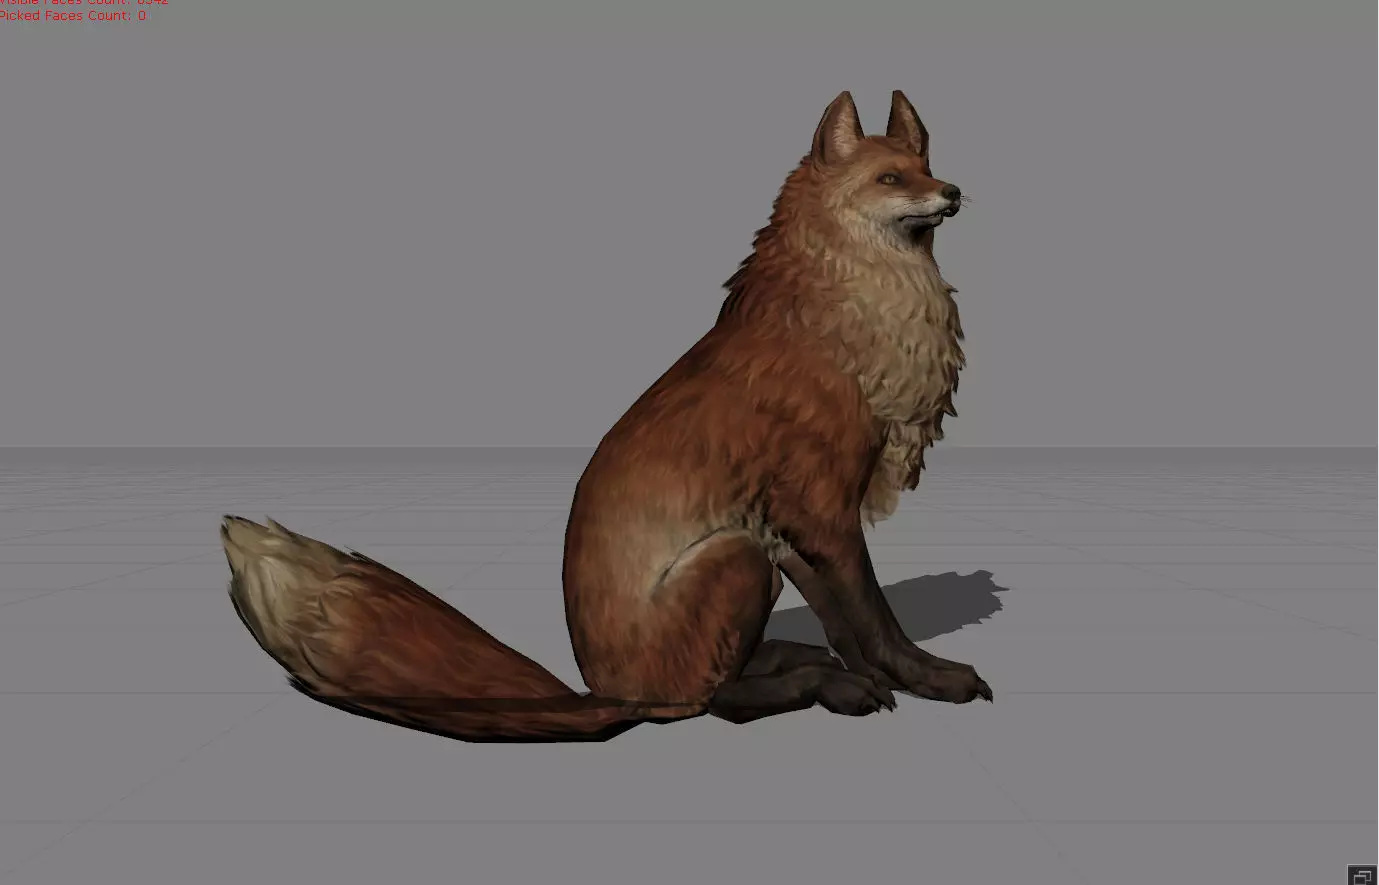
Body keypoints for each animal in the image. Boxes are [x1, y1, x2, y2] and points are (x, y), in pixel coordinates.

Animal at [221, 89, 992, 744]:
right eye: (890, 178)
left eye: (925, 166)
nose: (953, 192)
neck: (844, 331)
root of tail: (605, 691)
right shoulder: (819, 510)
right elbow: (874, 621)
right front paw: (920, 679)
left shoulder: (795, 530)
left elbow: (850, 627)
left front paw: (899, 674)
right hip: (737, 560)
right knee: (711, 703)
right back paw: (818, 683)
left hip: (757, 558)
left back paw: (791, 657)